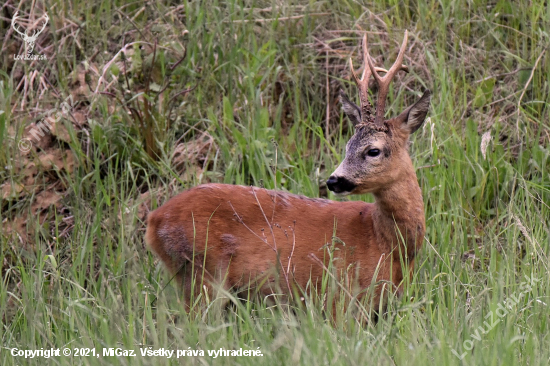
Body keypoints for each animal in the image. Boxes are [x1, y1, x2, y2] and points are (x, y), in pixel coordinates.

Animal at [147, 31, 432, 312]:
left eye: (373, 150)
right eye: (347, 146)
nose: (333, 180)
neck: (386, 243)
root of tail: (154, 221)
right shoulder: (339, 298)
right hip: (201, 273)